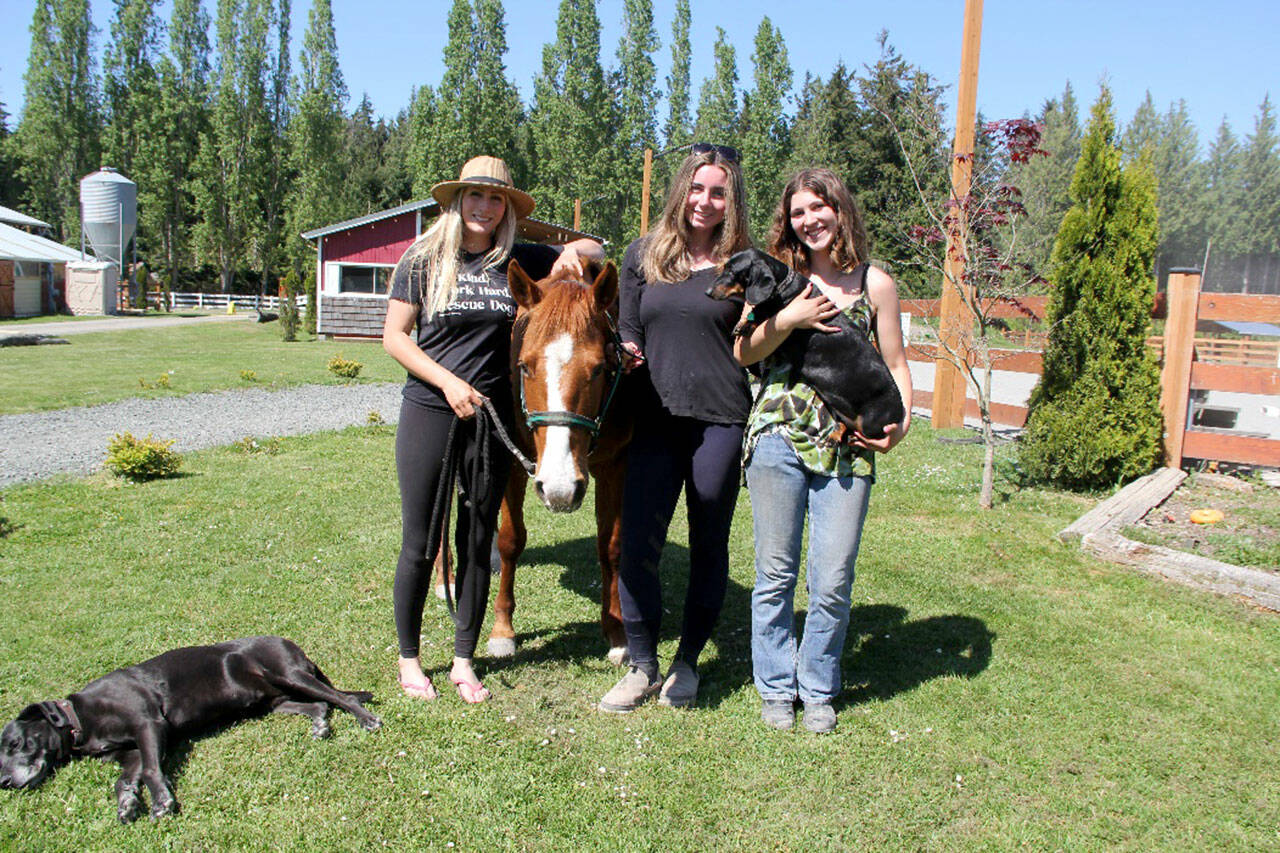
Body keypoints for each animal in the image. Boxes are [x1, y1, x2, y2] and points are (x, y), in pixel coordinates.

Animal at [0, 635, 378, 819]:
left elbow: (151, 770)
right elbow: (125, 779)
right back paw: (319, 725)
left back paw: (365, 717)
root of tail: (291, 644)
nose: (4, 781)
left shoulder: (149, 723)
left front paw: (162, 802)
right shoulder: (130, 752)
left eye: (16, 744)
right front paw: (127, 804)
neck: (80, 719)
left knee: (341, 698)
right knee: (320, 704)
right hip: (274, 701)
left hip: (289, 673)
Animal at [483, 258, 629, 666]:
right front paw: (502, 631)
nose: (560, 489)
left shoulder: (614, 469)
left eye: (599, 368)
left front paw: (617, 632)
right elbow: (510, 540)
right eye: (524, 366)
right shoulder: (514, 464)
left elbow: (610, 547)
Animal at [706, 247, 906, 438]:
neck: (784, 290)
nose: (707, 292)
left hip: (870, 424)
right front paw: (744, 324)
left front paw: (748, 324)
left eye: (732, 271)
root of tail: (901, 413)